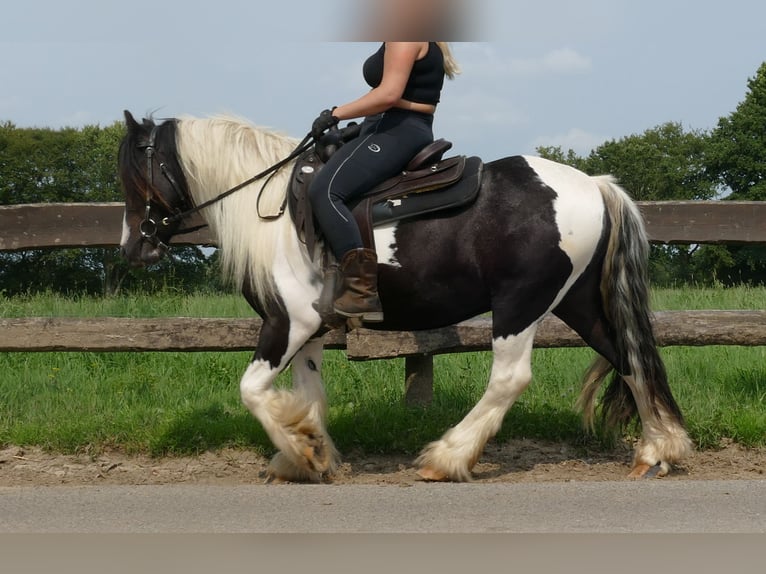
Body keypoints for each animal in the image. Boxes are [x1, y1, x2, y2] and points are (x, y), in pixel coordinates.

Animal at [118, 110, 696, 484]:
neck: (273, 214)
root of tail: (594, 184)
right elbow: (309, 392)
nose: (133, 247)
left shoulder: (288, 323)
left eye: (135, 174)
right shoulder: (310, 332)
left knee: (510, 378)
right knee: (628, 356)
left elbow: (253, 391)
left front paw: (299, 449)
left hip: (520, 304)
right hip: (575, 301)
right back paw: (656, 451)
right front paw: (311, 453)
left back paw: (447, 458)